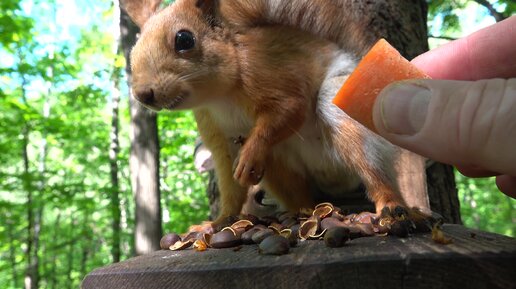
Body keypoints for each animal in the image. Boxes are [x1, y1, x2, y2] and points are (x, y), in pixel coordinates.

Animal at [121, 0, 412, 223]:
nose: (143, 94)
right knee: (300, 194)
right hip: (279, 166)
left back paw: (389, 204)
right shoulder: (217, 134)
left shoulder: (269, 73)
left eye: (184, 39)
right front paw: (219, 221)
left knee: (369, 165)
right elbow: (230, 183)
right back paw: (303, 212)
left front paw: (250, 154)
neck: (219, 97)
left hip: (342, 107)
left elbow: (291, 109)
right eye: (134, 48)